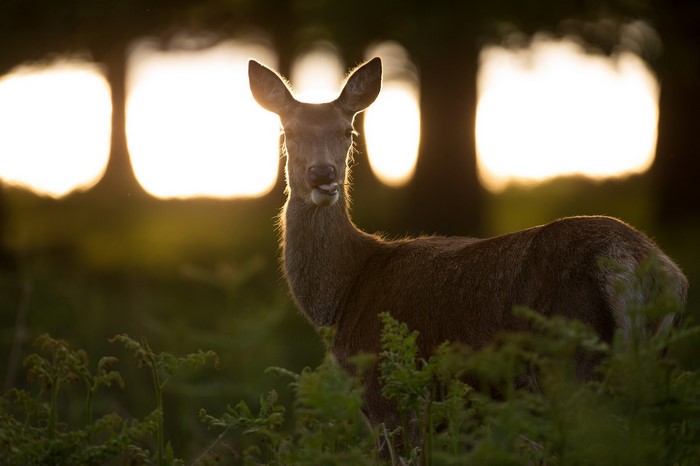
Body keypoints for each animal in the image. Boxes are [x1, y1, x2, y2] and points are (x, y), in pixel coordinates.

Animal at [247, 57, 688, 444]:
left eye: (347, 132)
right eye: (287, 131)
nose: (322, 174)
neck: (344, 294)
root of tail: (639, 266)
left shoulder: (390, 399)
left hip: (570, 361)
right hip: (650, 363)